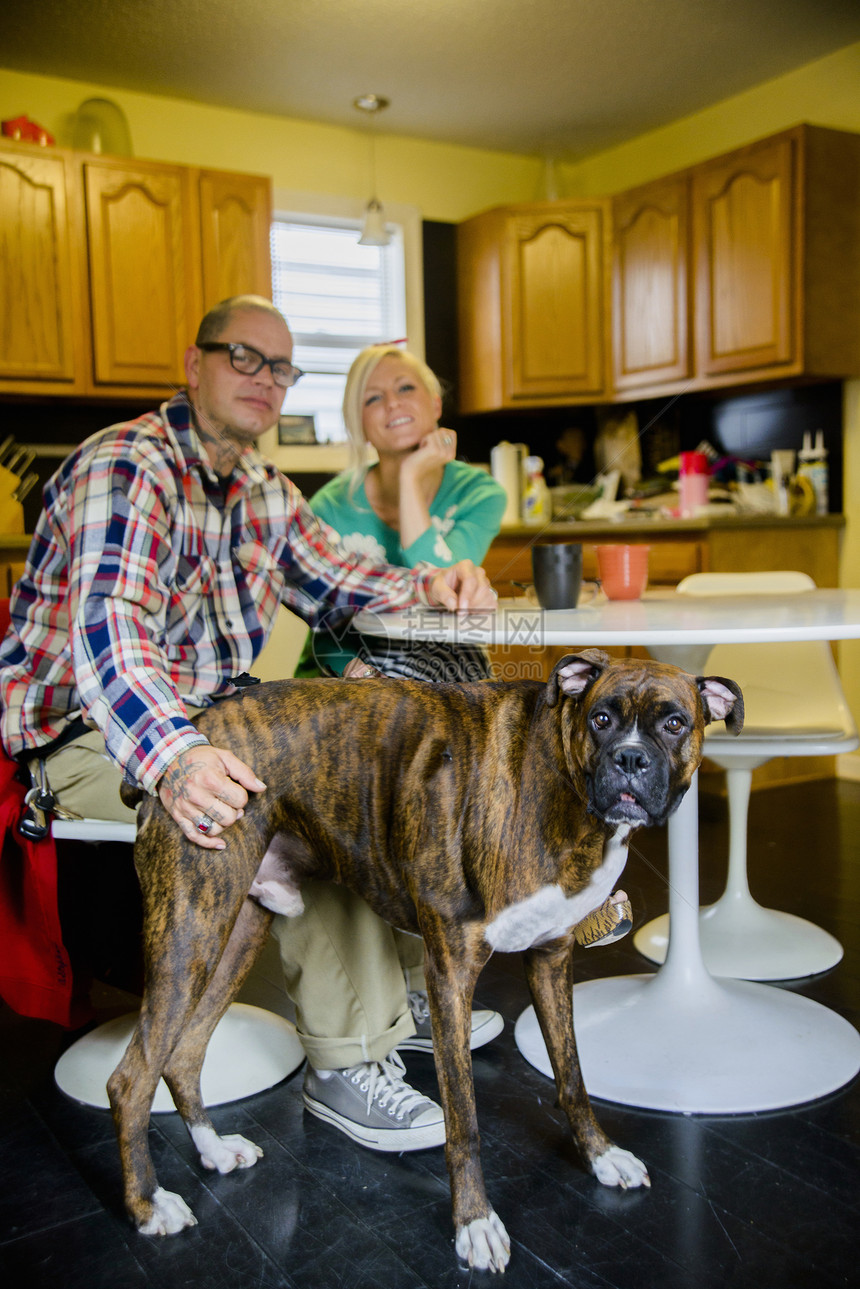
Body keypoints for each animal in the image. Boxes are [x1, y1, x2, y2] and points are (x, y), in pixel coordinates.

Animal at [107, 649, 742, 1273]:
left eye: (674, 723)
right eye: (601, 719)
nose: (630, 758)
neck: (562, 787)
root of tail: (189, 744)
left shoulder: (550, 960)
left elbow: (572, 1076)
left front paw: (601, 1156)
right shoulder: (451, 973)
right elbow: (464, 1118)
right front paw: (475, 1224)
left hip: (234, 933)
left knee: (183, 1056)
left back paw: (213, 1151)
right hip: (190, 934)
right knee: (131, 1079)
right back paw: (148, 1206)